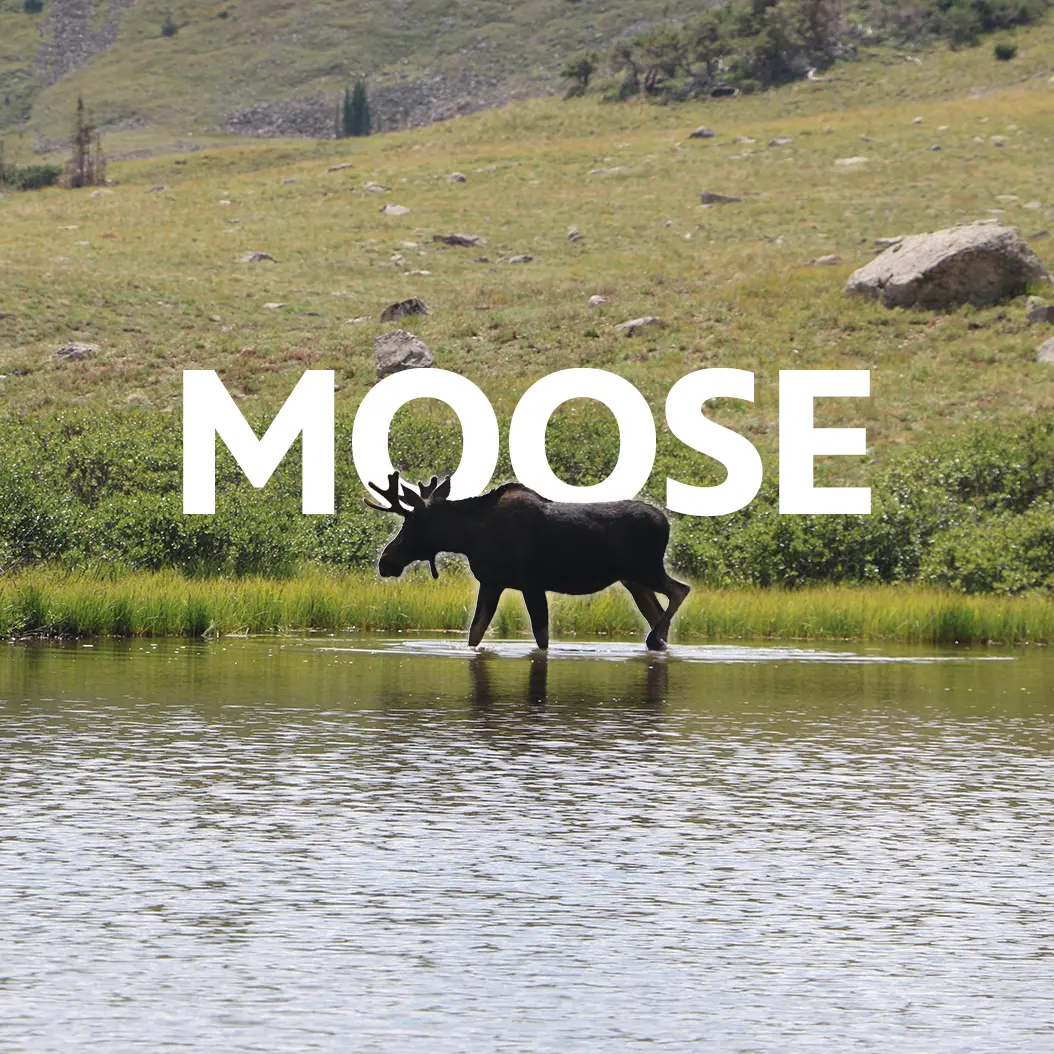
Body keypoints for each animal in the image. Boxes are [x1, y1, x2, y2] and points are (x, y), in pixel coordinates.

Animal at [364, 472, 690, 651]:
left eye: (412, 522)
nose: (386, 561)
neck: (471, 538)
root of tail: (666, 522)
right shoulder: (492, 583)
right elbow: (475, 633)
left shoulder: (532, 584)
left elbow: (541, 636)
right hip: (632, 579)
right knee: (656, 610)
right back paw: (658, 640)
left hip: (647, 569)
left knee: (680, 590)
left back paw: (653, 638)